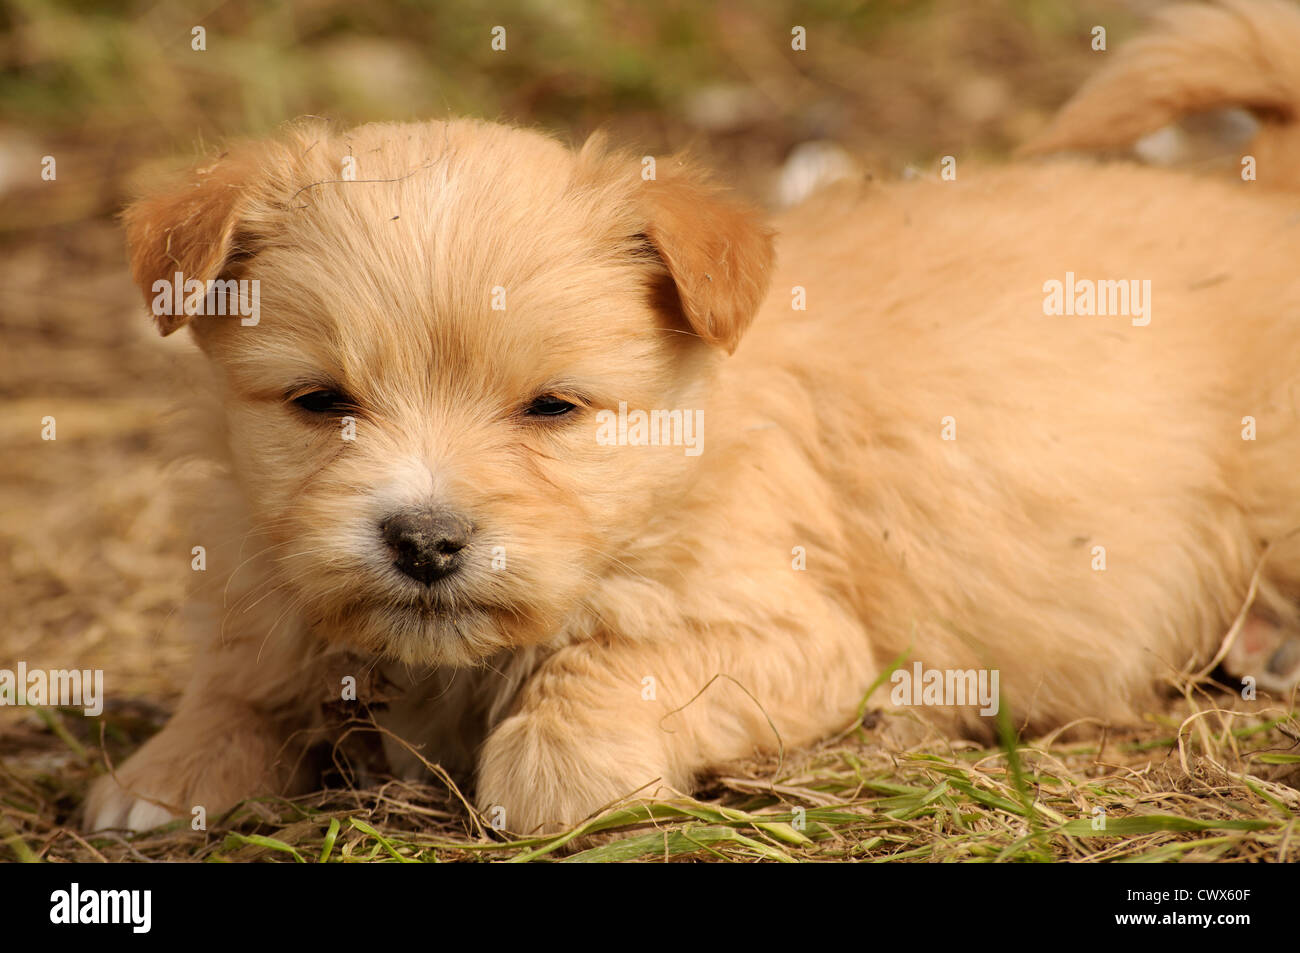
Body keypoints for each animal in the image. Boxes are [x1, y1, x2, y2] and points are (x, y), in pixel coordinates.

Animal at [83, 0, 1300, 832]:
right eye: (320, 401)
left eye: (553, 408)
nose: (425, 540)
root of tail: (1264, 194)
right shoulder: (264, 567)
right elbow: (246, 678)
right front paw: (165, 775)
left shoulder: (795, 630)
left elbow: (618, 662)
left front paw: (558, 771)